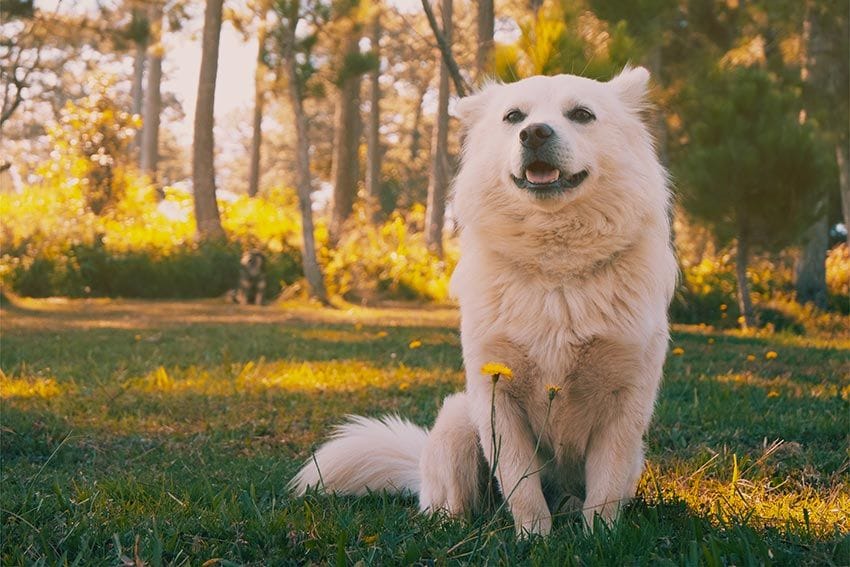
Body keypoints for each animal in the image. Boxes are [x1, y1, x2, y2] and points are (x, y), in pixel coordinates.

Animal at [292, 67, 676, 536]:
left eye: (582, 114)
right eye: (514, 117)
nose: (534, 133)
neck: (555, 273)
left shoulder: (625, 402)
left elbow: (604, 489)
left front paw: (599, 537)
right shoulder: (497, 396)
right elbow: (521, 483)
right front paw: (534, 537)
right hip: (459, 422)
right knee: (450, 507)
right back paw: (454, 522)